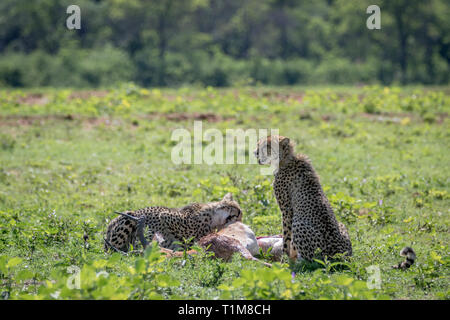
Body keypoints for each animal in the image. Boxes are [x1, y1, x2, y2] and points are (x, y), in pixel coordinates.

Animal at [103, 192, 243, 252]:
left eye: (239, 214)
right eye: (233, 207)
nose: (238, 213)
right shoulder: (164, 214)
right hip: (128, 217)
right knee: (109, 251)